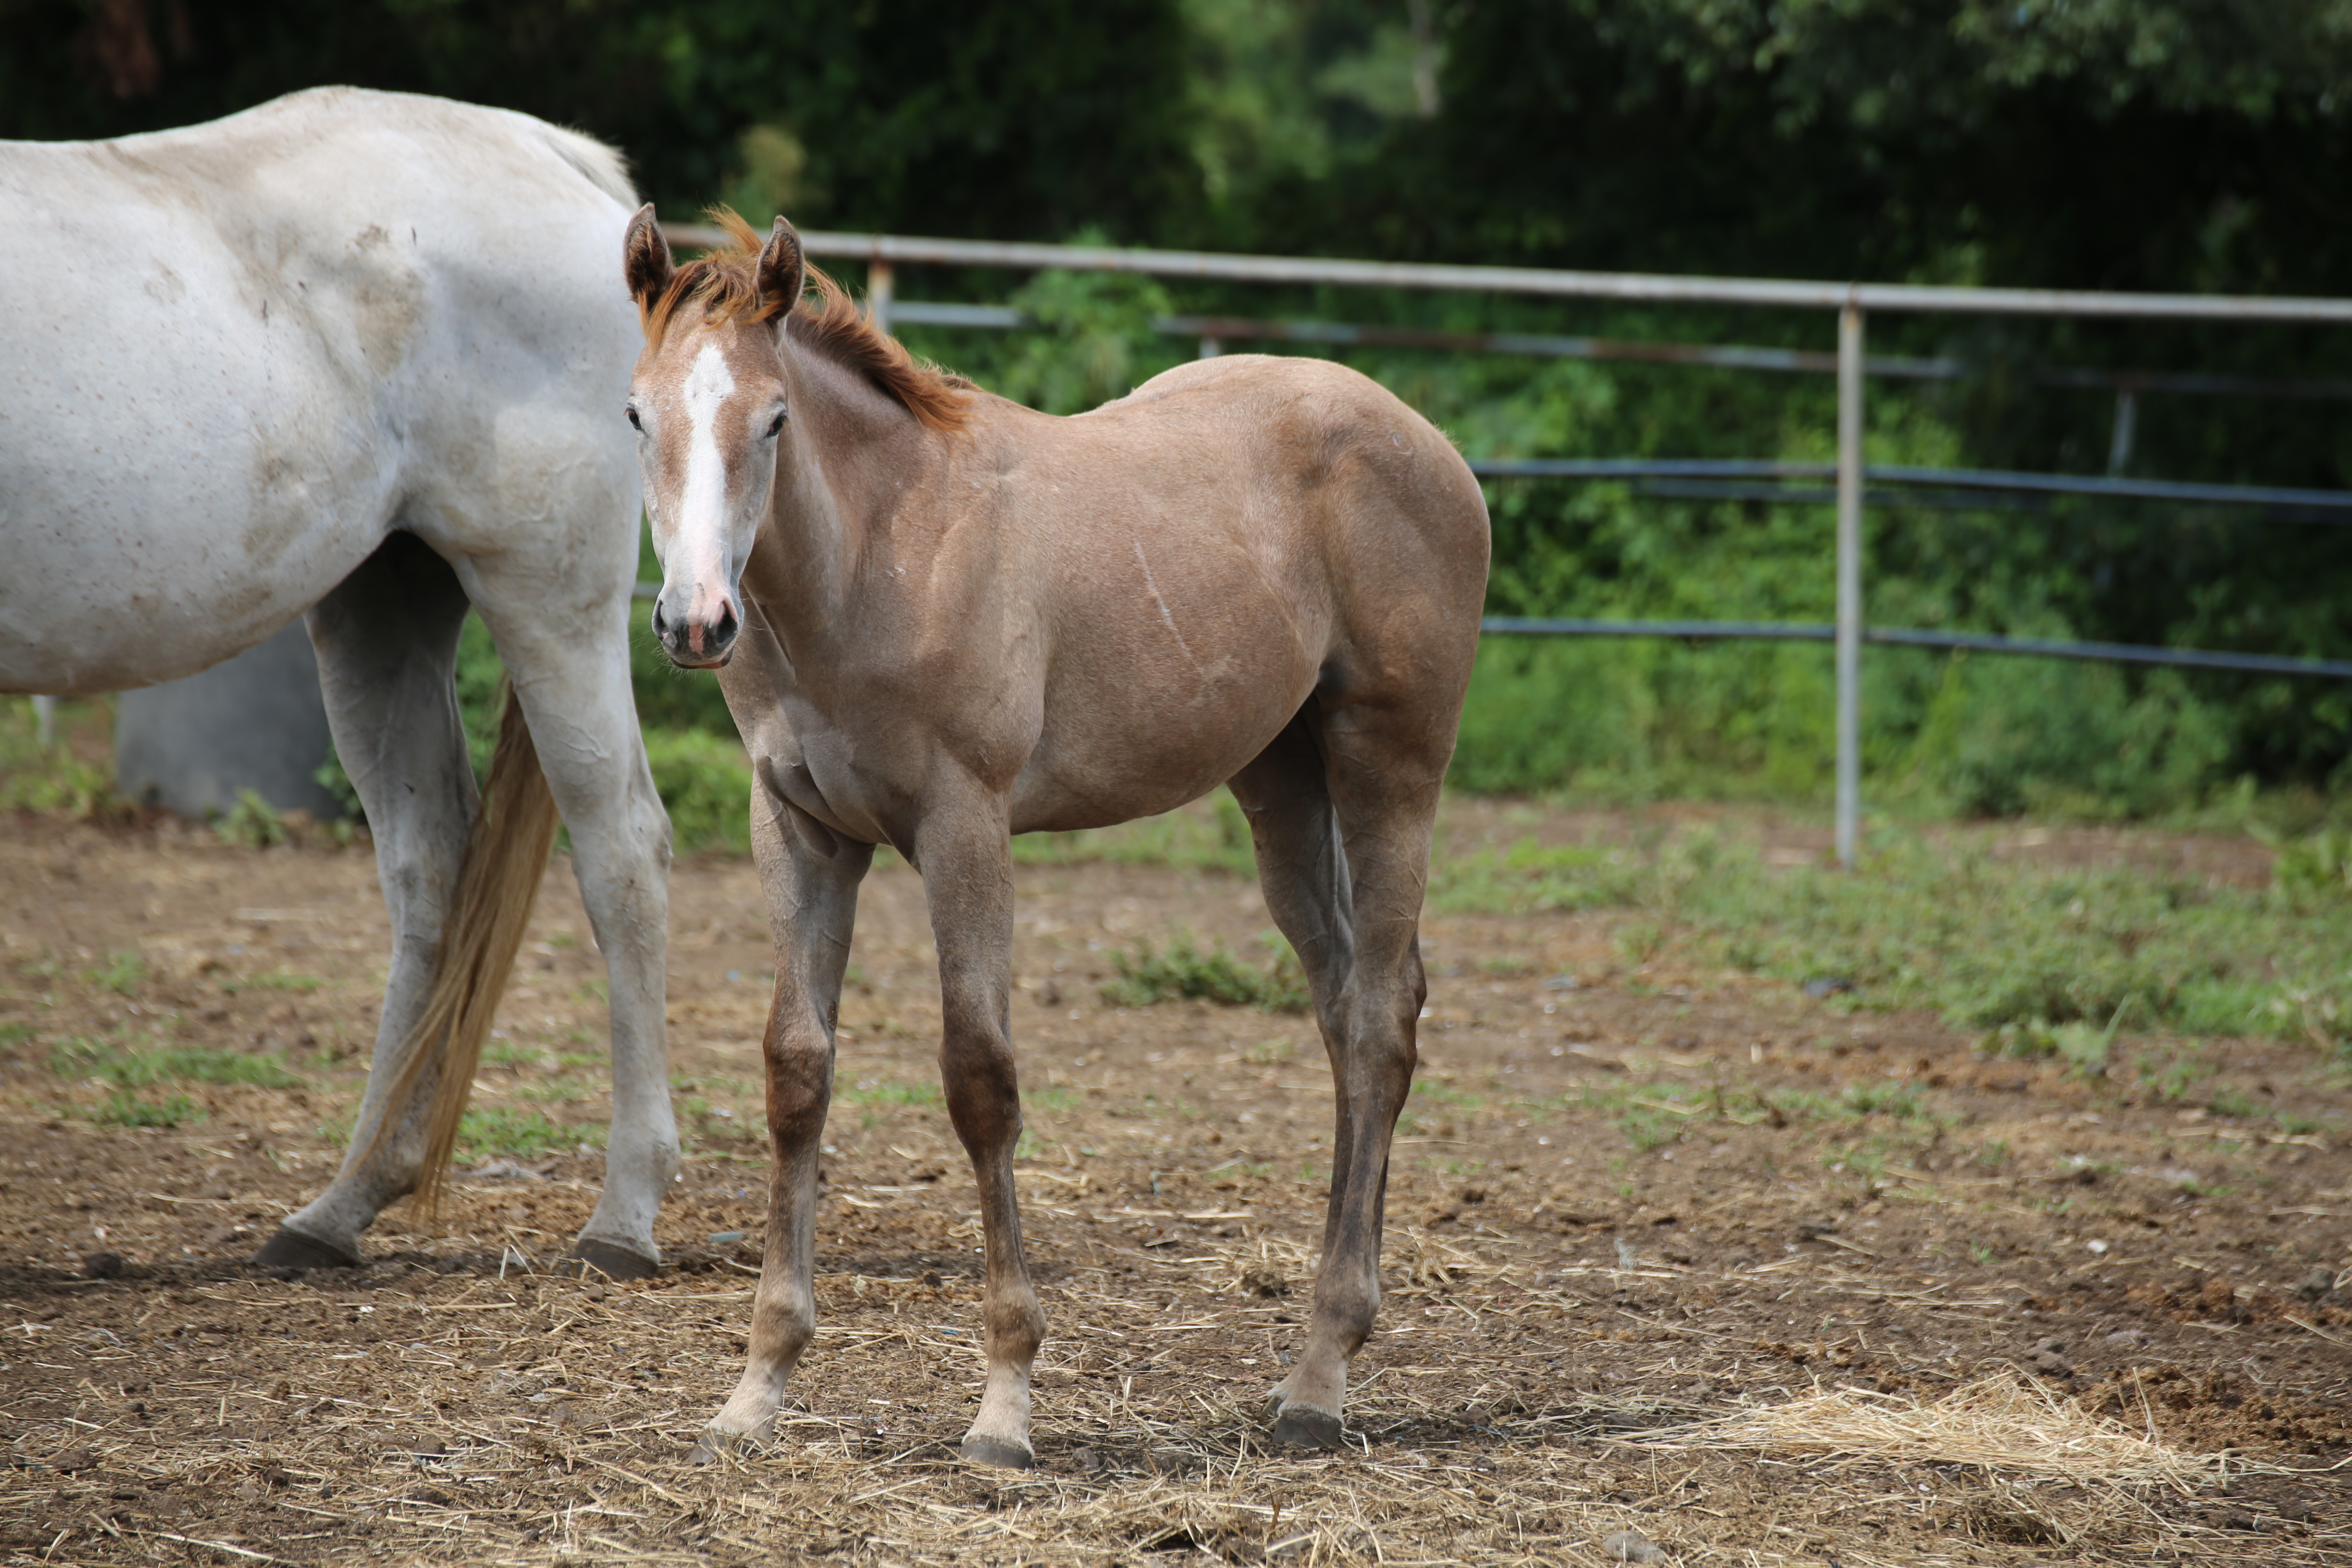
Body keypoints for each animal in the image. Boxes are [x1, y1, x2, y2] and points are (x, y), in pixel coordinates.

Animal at [2, 86, 682, 1278]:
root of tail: (549, 156)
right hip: (384, 606)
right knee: (431, 873)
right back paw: (342, 1203)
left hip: (548, 597)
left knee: (622, 851)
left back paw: (622, 1218)